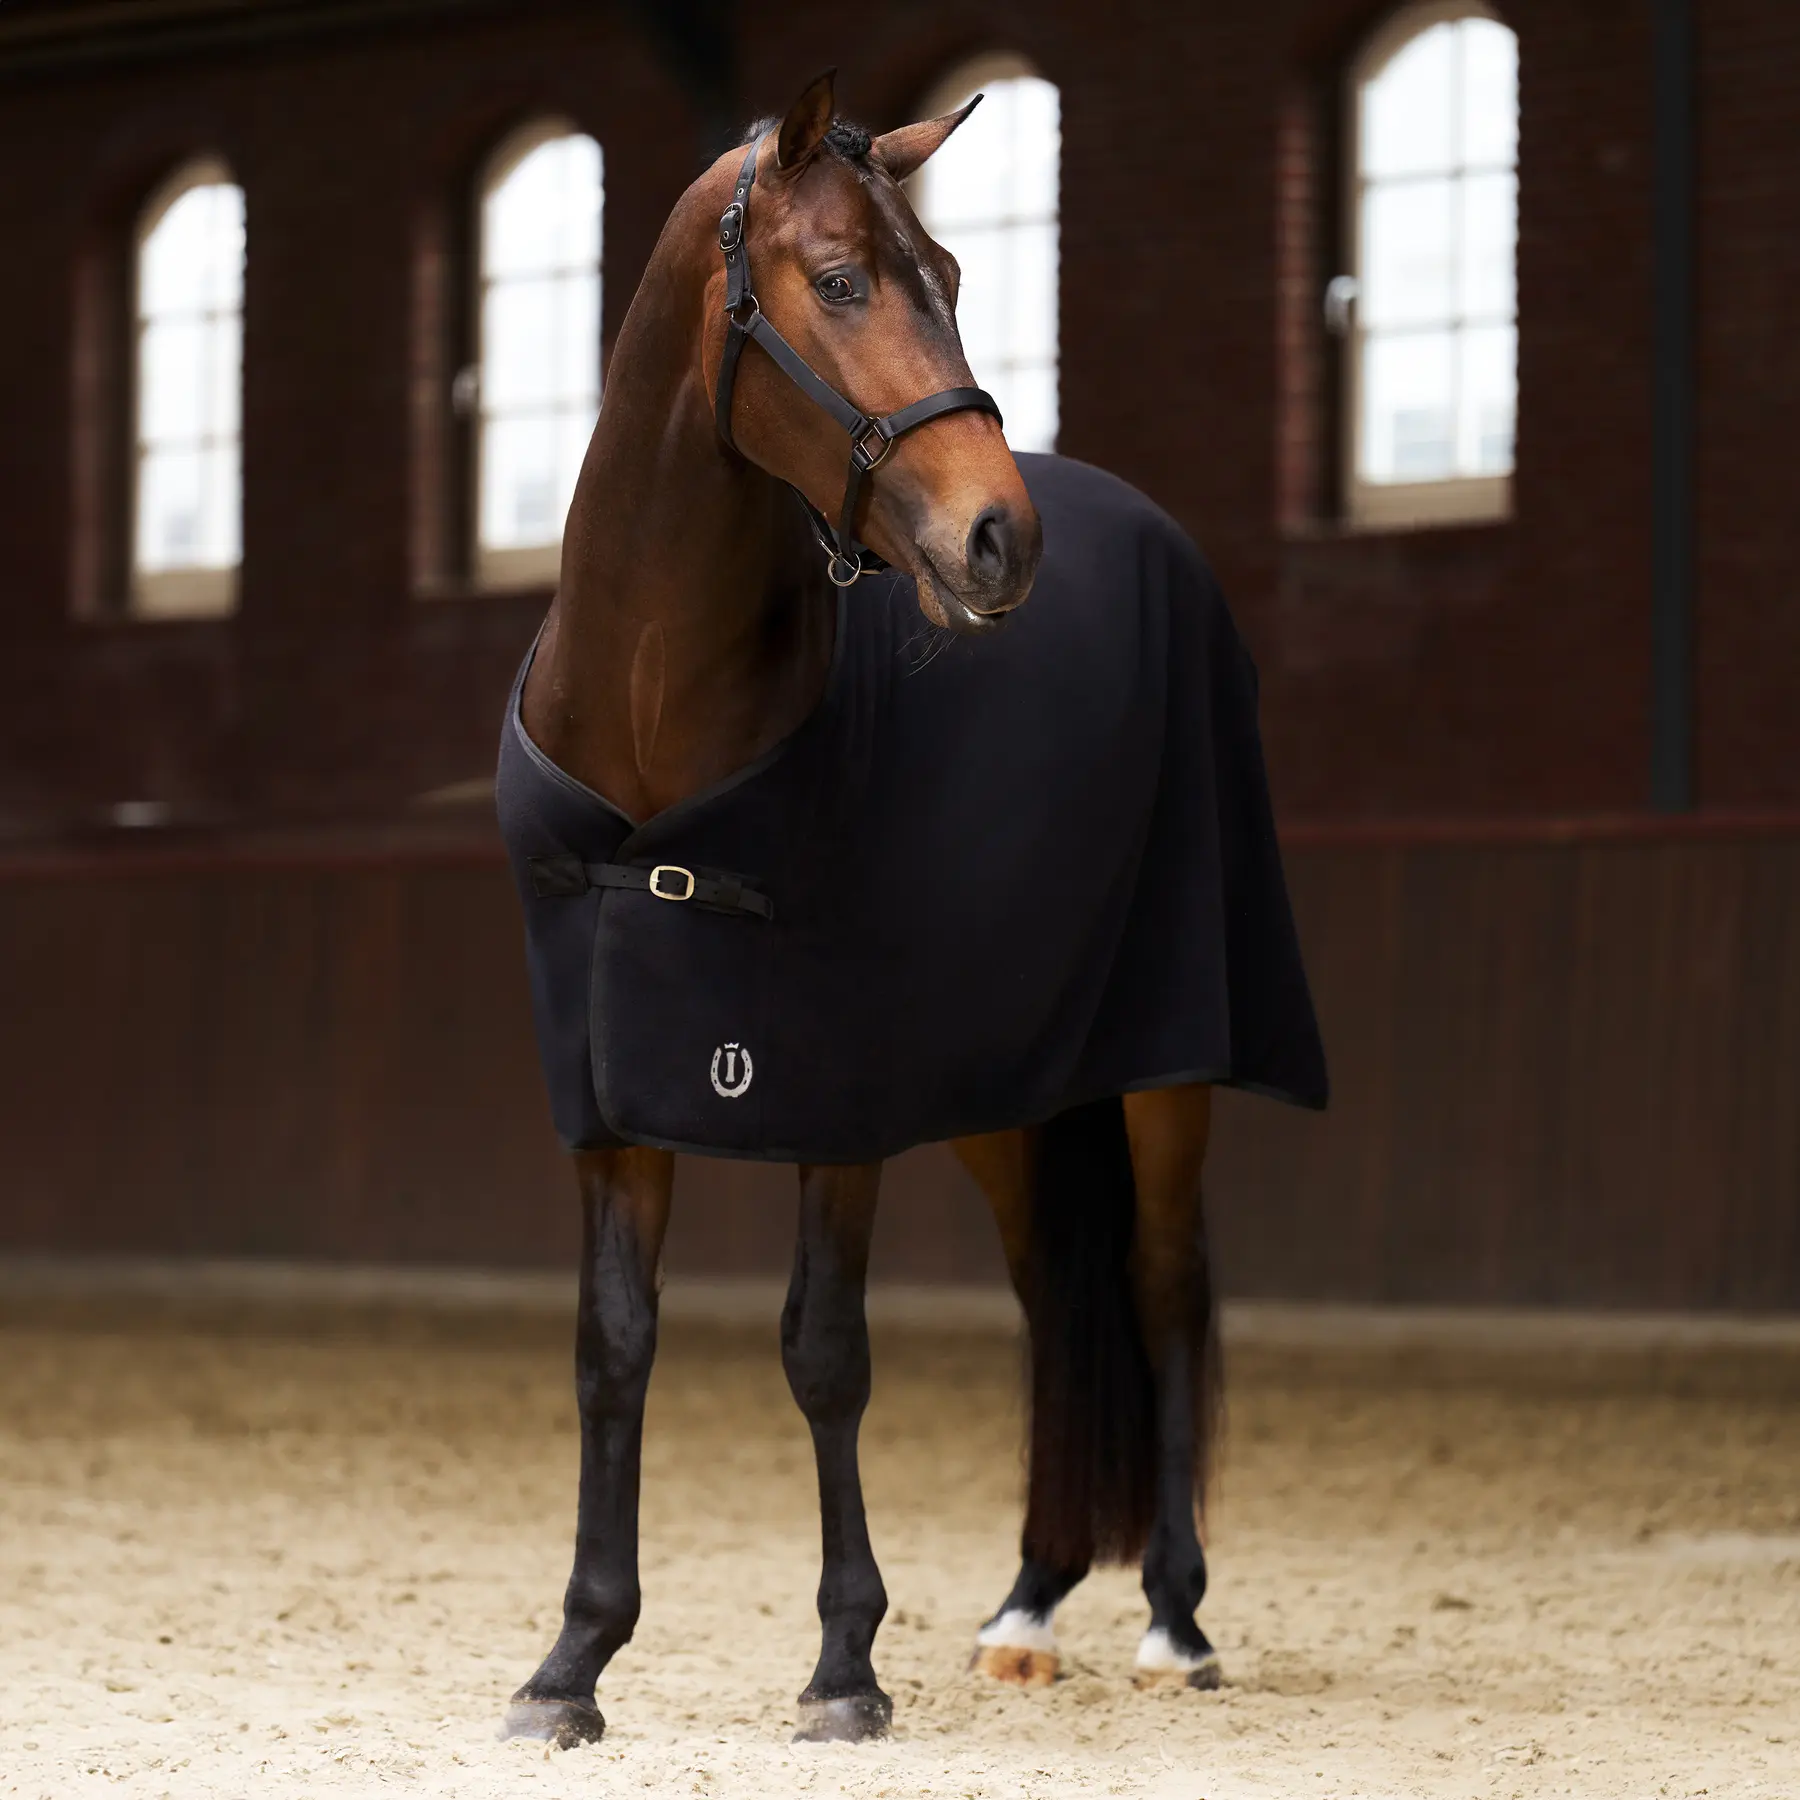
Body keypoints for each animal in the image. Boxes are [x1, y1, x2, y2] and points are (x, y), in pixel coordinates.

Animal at [494, 70, 1326, 1747]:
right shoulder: (608, 1102)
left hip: (1164, 1075)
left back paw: (1175, 1619)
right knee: (1056, 1306)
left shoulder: (836, 1106)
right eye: (838, 281)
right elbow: (613, 1348)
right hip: (1015, 1095)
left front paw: (842, 1665)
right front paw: (573, 1664)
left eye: (944, 275)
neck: (657, 722)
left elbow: (826, 1353)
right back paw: (1027, 1606)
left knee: (1160, 1290)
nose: (1000, 539)